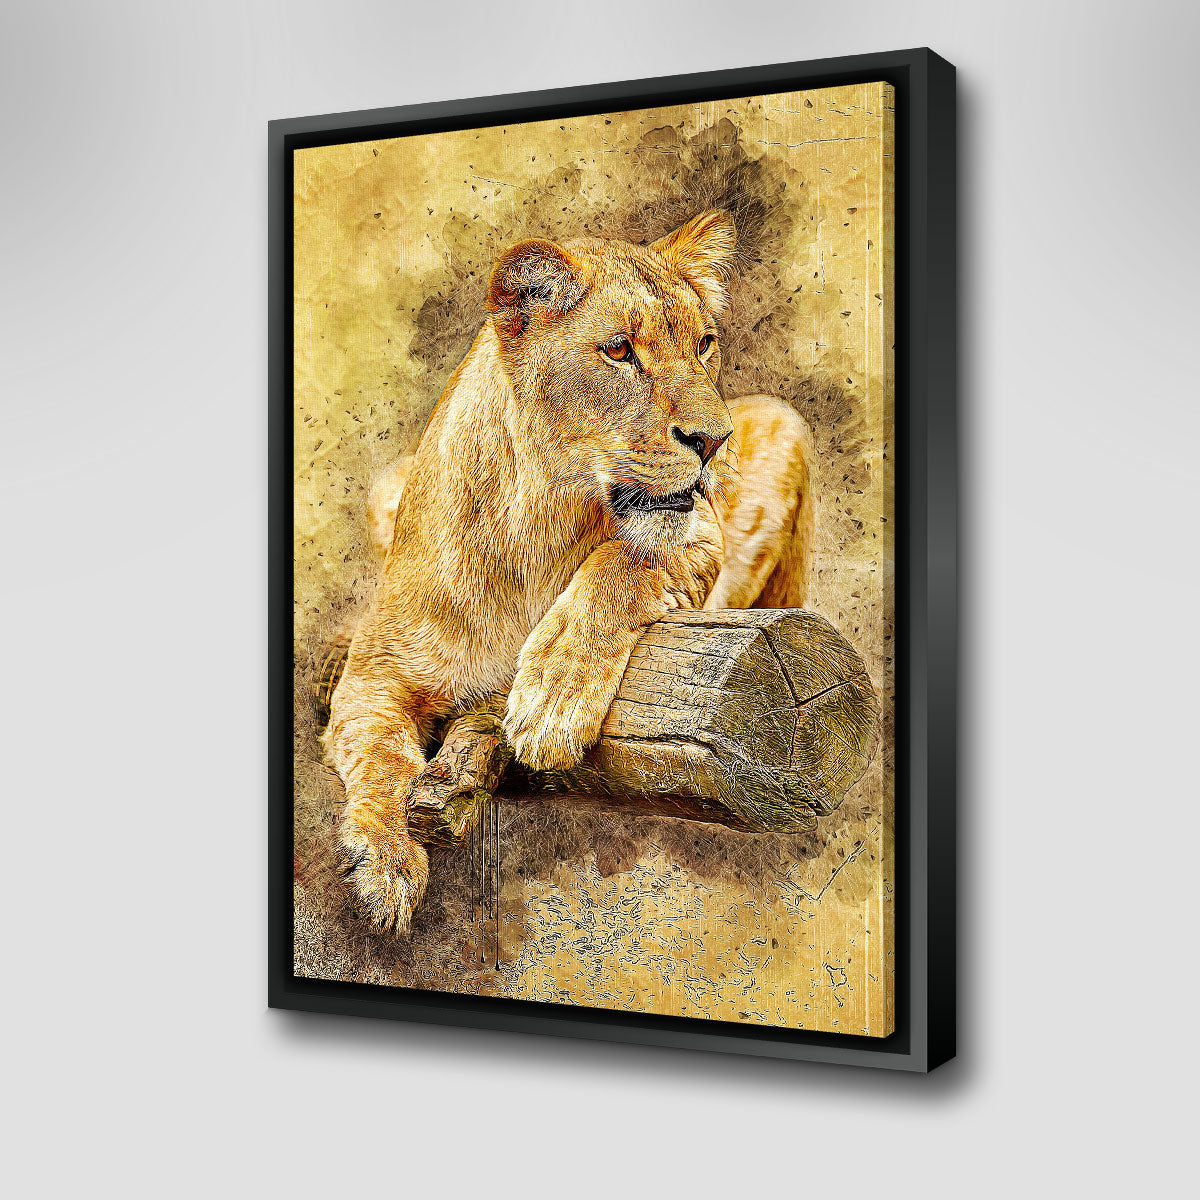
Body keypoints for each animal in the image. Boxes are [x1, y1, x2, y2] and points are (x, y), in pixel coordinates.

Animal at [324, 210, 814, 934]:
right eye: (619, 351)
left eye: (704, 344)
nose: (713, 441)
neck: (539, 518)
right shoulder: (374, 675)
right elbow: (379, 756)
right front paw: (385, 862)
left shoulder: (700, 536)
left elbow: (623, 560)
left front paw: (552, 699)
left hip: (783, 421)